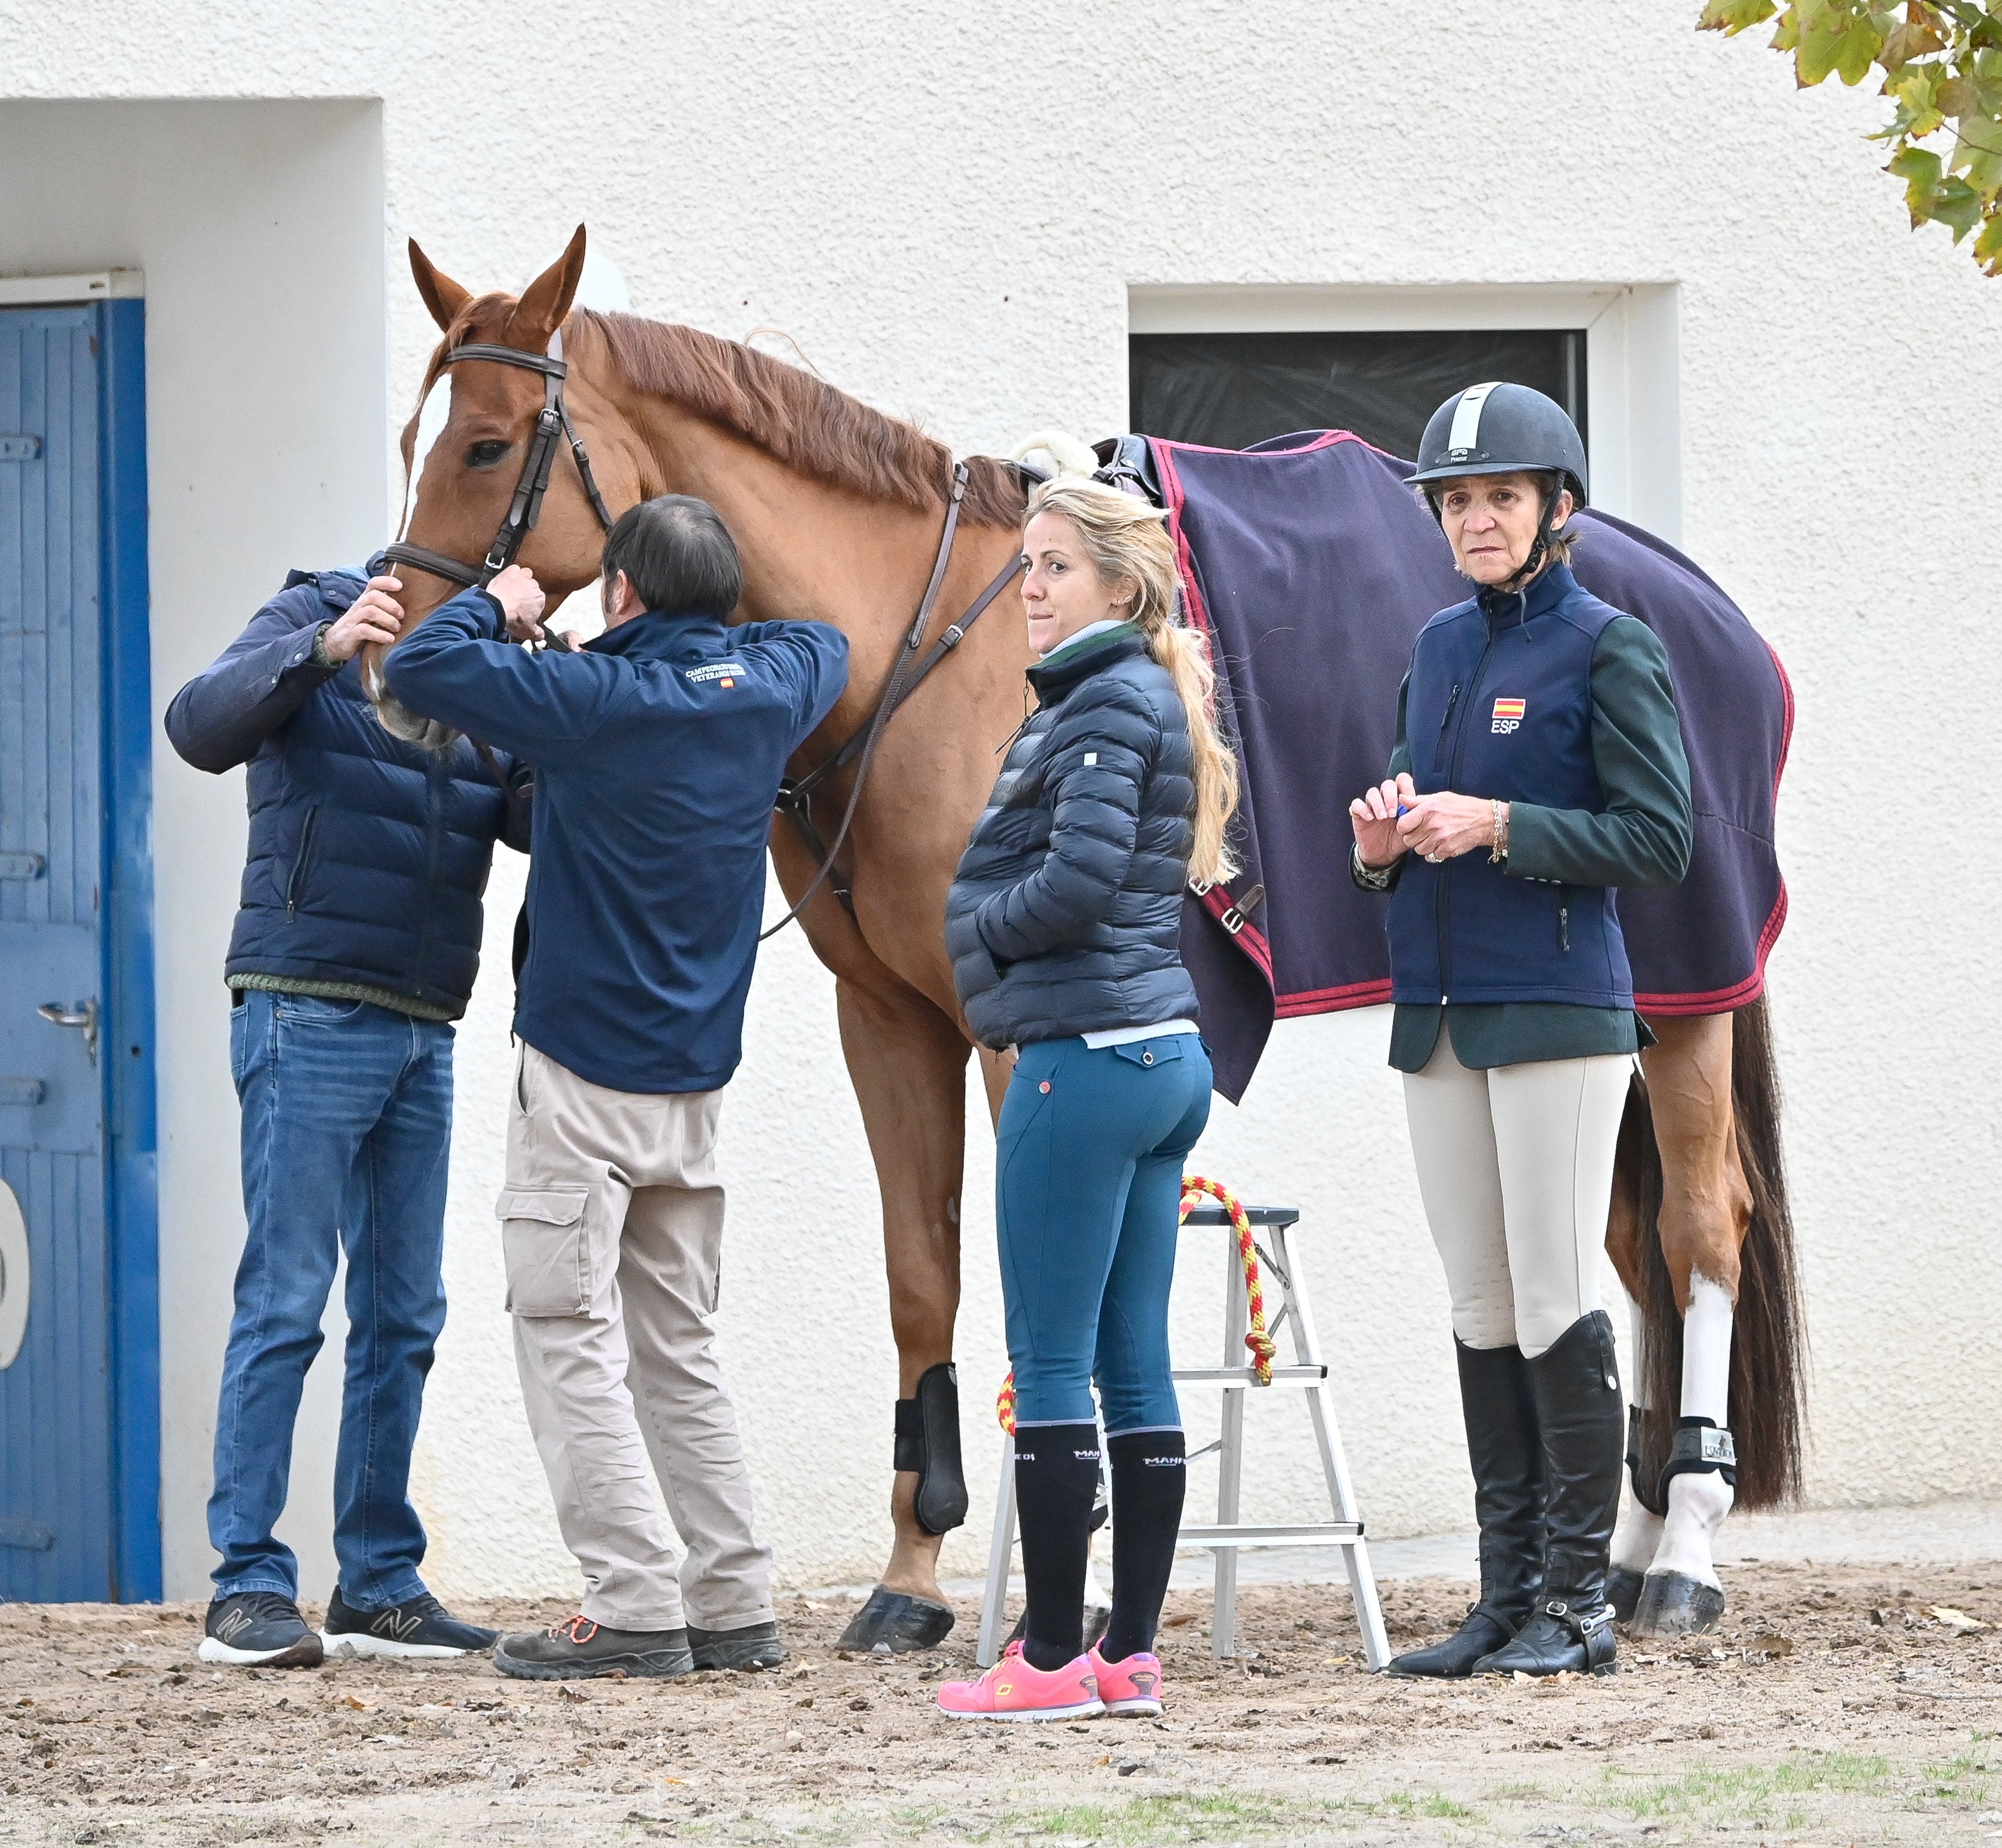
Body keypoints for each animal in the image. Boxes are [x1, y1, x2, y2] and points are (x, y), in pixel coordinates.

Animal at [368, 227, 1810, 1650]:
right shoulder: (891, 1019)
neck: (923, 657)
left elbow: (1045, 1269)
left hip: (1677, 1009)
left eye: (486, 444)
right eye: (409, 439)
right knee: (1624, 1251)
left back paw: (1682, 1553)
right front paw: (914, 1571)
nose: (387, 669)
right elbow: (923, 1273)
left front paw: (1077, 1554)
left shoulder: (1025, 1033)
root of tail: (1700, 608)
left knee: (1698, 1233)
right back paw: (1621, 1553)